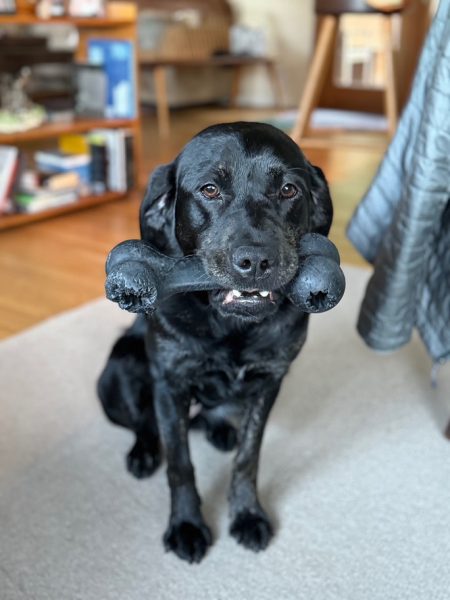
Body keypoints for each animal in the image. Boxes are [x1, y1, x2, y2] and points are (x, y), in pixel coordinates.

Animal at [97, 122, 330, 564]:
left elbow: (249, 458)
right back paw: (143, 452)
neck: (230, 326)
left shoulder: (269, 381)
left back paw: (220, 428)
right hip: (120, 368)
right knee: (144, 423)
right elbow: (180, 464)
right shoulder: (170, 382)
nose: (255, 261)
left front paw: (248, 514)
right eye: (209, 189)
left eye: (288, 189)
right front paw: (186, 526)